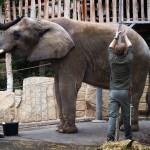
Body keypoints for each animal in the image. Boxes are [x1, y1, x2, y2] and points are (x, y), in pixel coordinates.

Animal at [0, 17, 149, 133]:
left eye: (17, 34)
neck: (47, 21)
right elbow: (57, 87)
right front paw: (59, 130)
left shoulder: (74, 53)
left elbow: (67, 85)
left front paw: (67, 131)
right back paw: (123, 128)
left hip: (139, 62)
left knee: (134, 92)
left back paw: (127, 129)